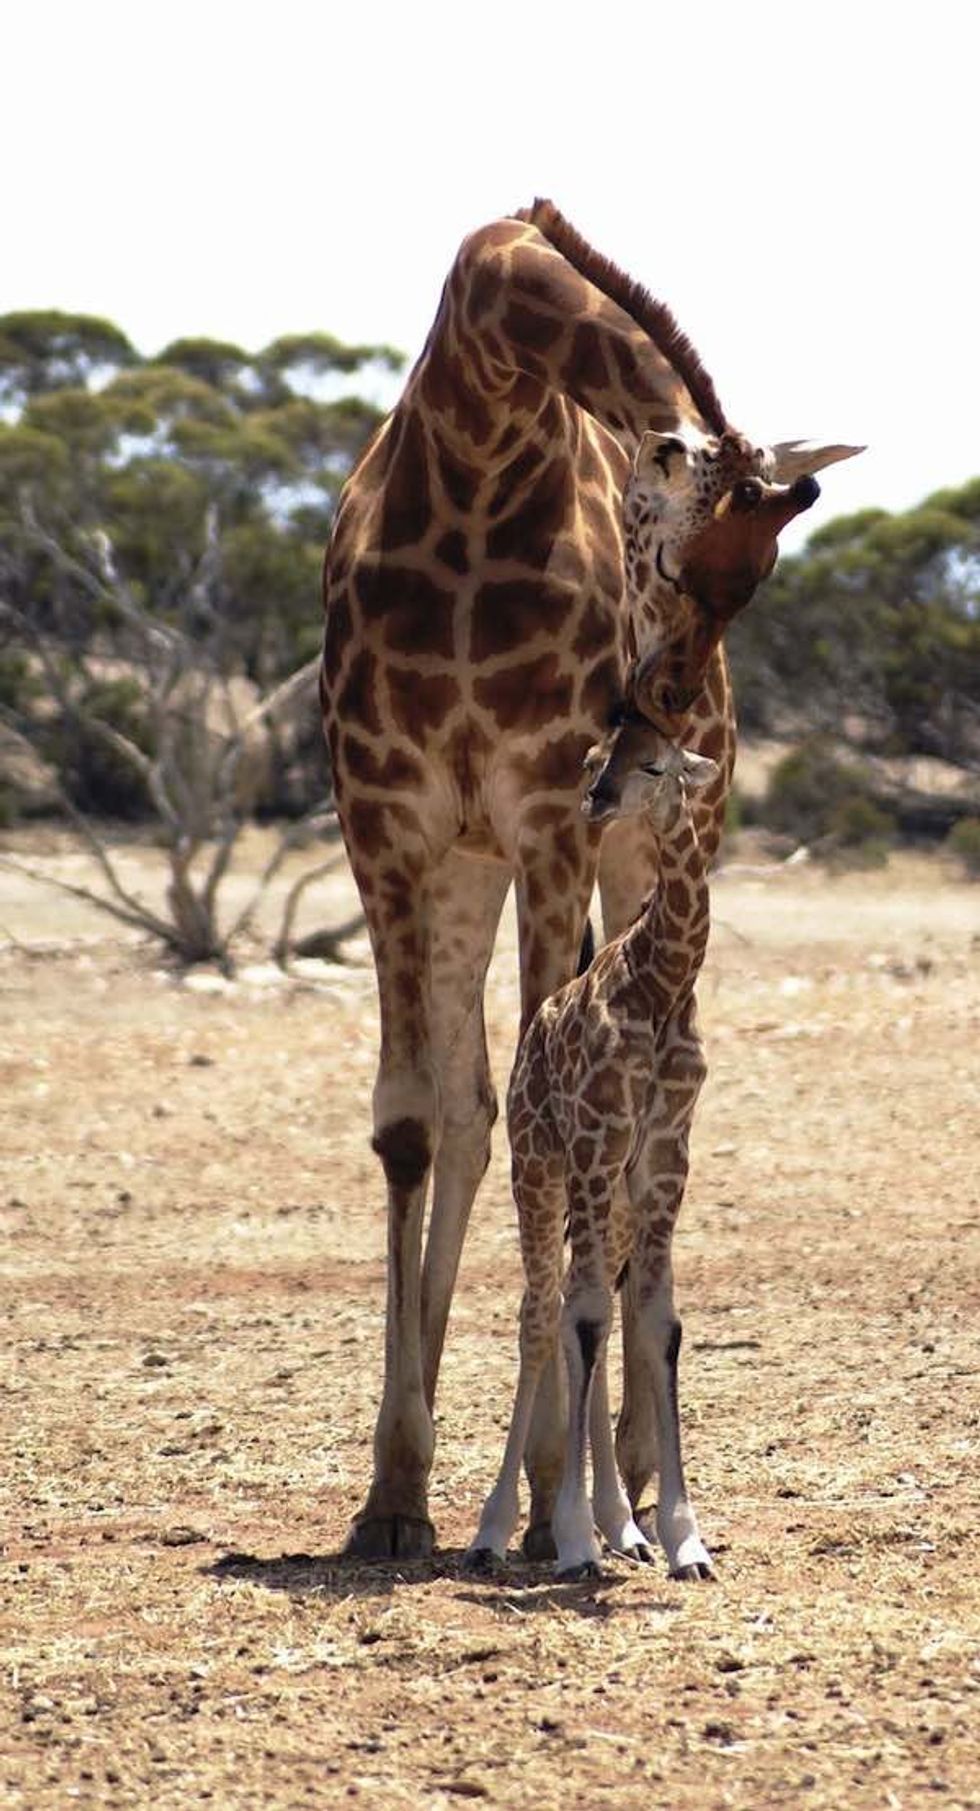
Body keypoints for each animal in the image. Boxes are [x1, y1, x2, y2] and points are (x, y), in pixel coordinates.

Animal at [467, 716, 718, 1579]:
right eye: (593, 759)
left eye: (658, 764)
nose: (596, 802)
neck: (663, 983)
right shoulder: (596, 1143)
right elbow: (576, 1320)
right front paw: (574, 1540)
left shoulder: (664, 1157)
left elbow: (655, 1322)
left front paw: (683, 1538)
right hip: (539, 1172)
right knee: (542, 1314)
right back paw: (492, 1529)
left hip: (603, 1195)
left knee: (593, 1316)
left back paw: (625, 1527)